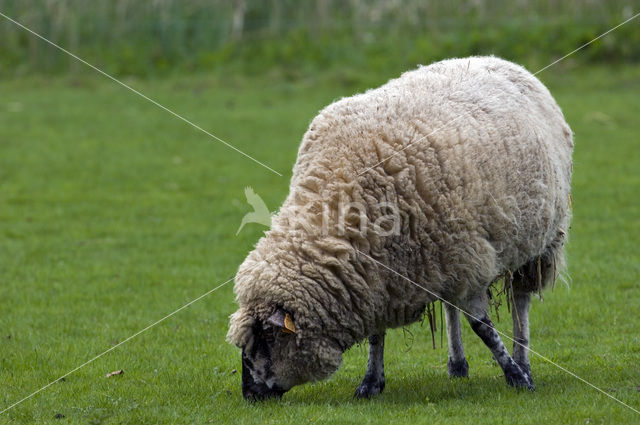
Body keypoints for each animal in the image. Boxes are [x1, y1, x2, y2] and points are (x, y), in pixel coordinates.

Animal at [228, 55, 572, 398]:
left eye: (268, 336)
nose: (250, 395)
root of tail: (496, 59)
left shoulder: (466, 259)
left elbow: (483, 327)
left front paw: (516, 375)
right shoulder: (380, 277)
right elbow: (376, 334)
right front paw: (371, 381)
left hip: (537, 242)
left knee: (520, 301)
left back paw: (523, 360)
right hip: (446, 259)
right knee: (451, 307)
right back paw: (457, 364)